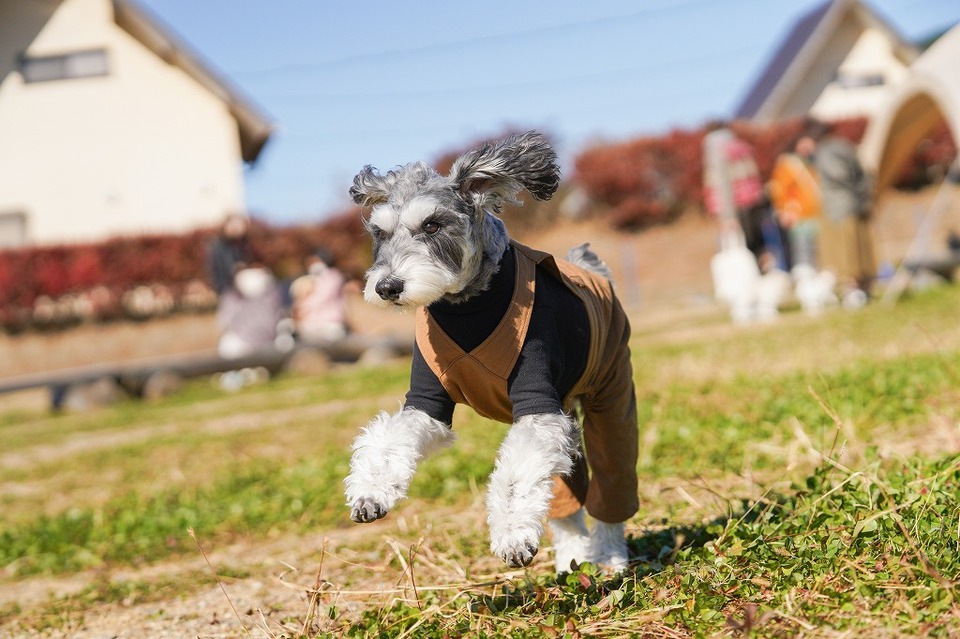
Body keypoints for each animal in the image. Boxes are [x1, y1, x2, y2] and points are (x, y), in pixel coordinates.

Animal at [344, 131, 636, 576]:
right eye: (380, 233)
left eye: (432, 225)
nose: (387, 287)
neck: (468, 304)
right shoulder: (427, 402)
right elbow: (392, 437)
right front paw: (371, 490)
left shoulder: (538, 408)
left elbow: (516, 476)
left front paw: (512, 534)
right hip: (568, 416)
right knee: (566, 494)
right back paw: (573, 557)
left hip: (611, 392)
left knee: (611, 477)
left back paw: (608, 556)